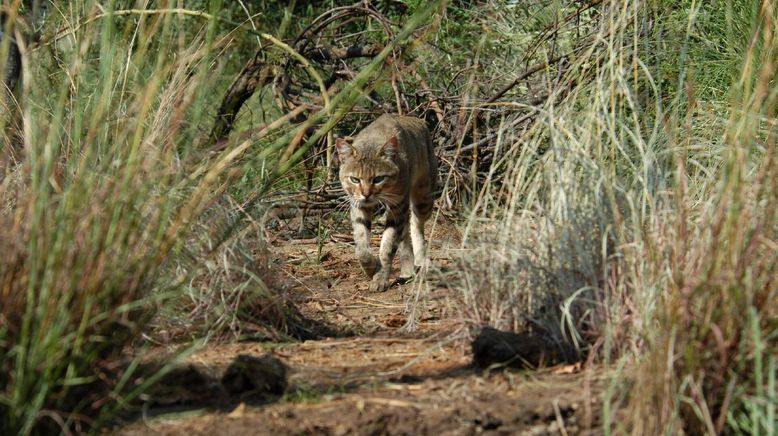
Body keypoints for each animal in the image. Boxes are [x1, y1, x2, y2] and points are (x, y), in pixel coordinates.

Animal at [336, 113, 440, 292]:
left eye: (378, 179)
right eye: (354, 179)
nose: (366, 194)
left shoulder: (397, 205)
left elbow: (388, 246)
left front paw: (380, 278)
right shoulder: (358, 204)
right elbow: (361, 247)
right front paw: (371, 269)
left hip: (423, 197)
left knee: (416, 224)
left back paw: (421, 260)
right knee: (405, 232)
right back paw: (407, 269)